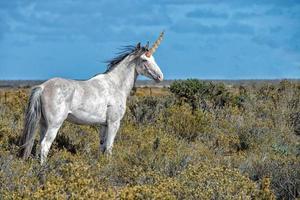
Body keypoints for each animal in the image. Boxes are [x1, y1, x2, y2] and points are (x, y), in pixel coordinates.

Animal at [19, 32, 164, 164]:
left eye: (154, 58)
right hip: (54, 124)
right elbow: (109, 147)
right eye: (145, 60)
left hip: (43, 124)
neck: (115, 84)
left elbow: (102, 146)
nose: (160, 77)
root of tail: (42, 87)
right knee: (45, 145)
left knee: (39, 144)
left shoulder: (103, 125)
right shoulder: (114, 123)